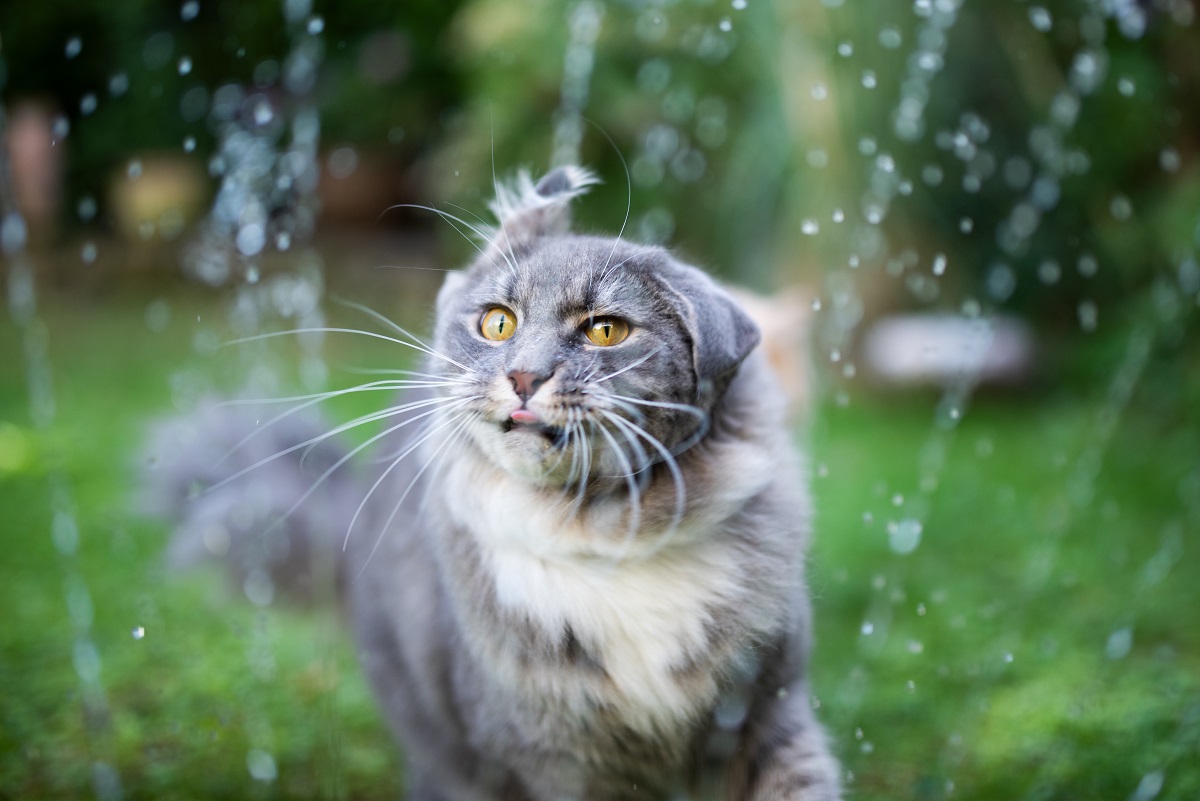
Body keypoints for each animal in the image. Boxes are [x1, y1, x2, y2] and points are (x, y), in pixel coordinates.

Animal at [145, 164, 840, 801]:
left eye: (606, 329)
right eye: (498, 323)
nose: (525, 377)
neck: (607, 534)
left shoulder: (771, 717)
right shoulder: (550, 760)